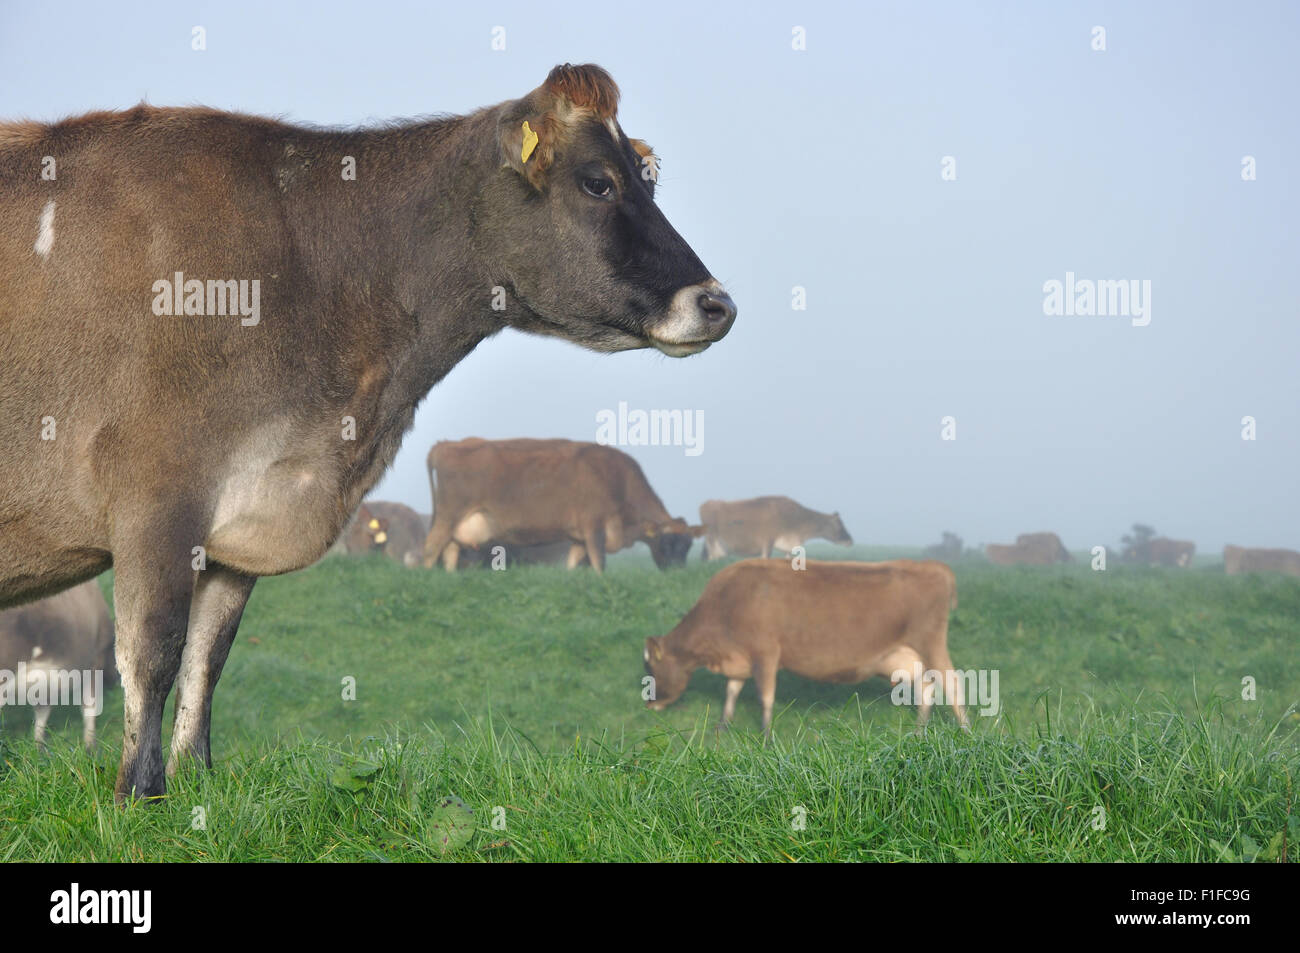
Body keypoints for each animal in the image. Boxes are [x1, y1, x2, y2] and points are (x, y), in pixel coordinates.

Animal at [422, 437, 701, 573]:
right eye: (666, 543)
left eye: (688, 546)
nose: (678, 572)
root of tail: (445, 445)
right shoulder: (593, 527)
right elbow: (599, 565)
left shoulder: (579, 537)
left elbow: (573, 563)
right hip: (448, 516)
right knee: (431, 549)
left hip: (460, 526)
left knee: (449, 552)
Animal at [643, 559, 968, 734]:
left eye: (651, 667)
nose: (649, 705)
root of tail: (934, 566)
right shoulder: (741, 658)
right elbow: (731, 694)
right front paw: (722, 731)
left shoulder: (766, 653)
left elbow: (765, 698)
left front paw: (766, 740)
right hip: (908, 657)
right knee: (926, 689)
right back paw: (919, 734)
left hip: (930, 643)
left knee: (952, 685)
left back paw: (966, 733)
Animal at [698, 496, 852, 561]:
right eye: (840, 525)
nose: (851, 540)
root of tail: (706, 504)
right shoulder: (768, 542)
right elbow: (766, 558)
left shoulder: (788, 546)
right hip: (713, 541)